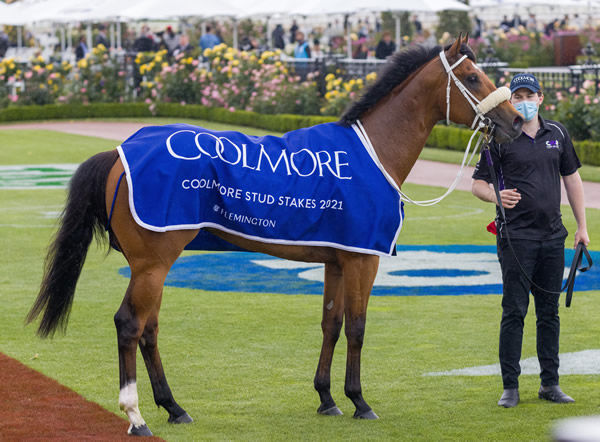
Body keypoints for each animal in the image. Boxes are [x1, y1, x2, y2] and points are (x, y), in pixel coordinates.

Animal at [28, 36, 524, 436]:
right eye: (474, 77)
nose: (516, 122)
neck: (373, 152)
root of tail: (120, 150)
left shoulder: (336, 260)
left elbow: (331, 324)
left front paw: (326, 398)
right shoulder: (363, 259)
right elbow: (358, 327)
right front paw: (359, 400)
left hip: (151, 266)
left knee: (148, 330)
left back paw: (173, 407)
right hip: (152, 264)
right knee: (130, 324)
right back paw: (136, 416)